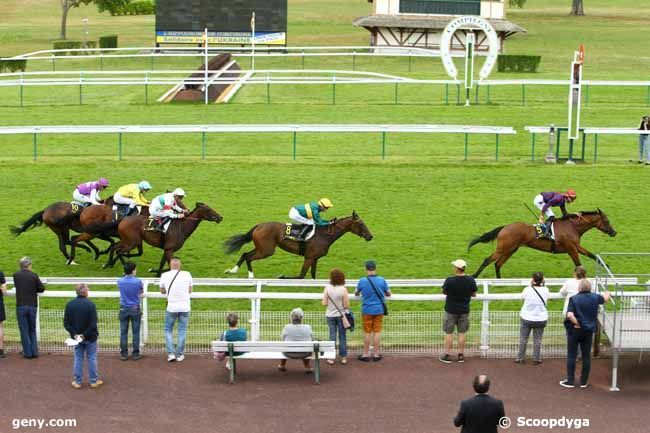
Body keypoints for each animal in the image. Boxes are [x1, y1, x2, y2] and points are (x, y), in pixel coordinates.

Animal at [223, 211, 372, 278]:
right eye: (361, 224)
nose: (370, 236)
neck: (324, 235)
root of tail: (258, 225)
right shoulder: (309, 257)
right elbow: (301, 275)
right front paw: (282, 276)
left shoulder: (314, 258)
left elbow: (312, 274)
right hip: (266, 250)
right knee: (248, 256)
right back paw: (250, 276)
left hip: (262, 248)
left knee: (245, 254)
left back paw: (233, 270)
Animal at [466, 208, 612, 276]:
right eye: (607, 221)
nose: (614, 232)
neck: (572, 226)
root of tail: (504, 227)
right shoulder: (571, 249)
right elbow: (578, 265)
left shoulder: (576, 246)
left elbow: (591, 255)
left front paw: (607, 266)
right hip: (503, 248)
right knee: (487, 260)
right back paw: (474, 276)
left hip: (511, 250)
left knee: (497, 264)